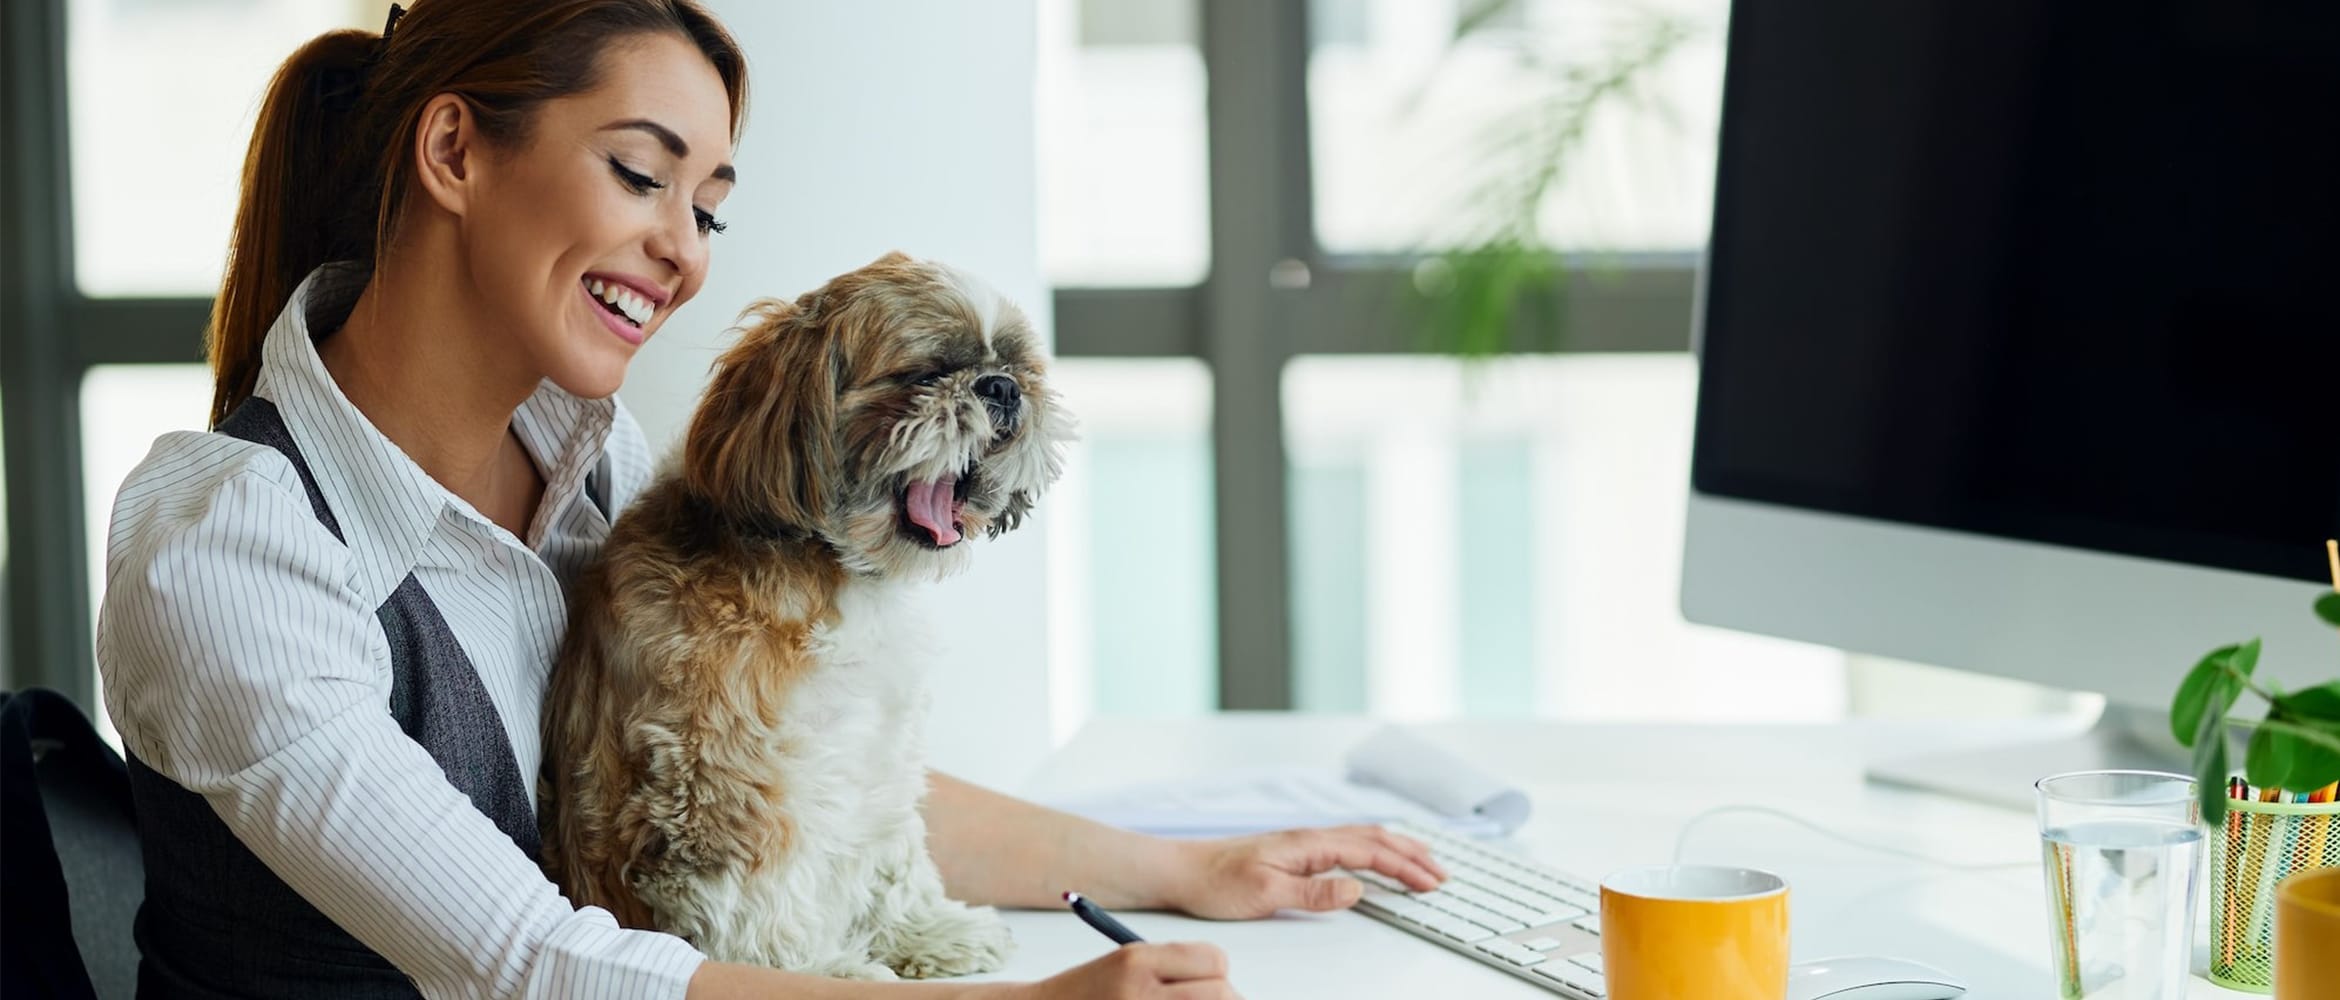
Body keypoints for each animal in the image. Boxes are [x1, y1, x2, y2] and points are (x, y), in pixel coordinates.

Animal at [538, 250, 1071, 978]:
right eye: (925, 372)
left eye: (1015, 365)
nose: (1003, 388)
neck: (833, 567)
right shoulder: (723, 776)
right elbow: (754, 896)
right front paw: (815, 972)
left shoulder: (881, 750)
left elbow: (891, 851)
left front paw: (926, 931)